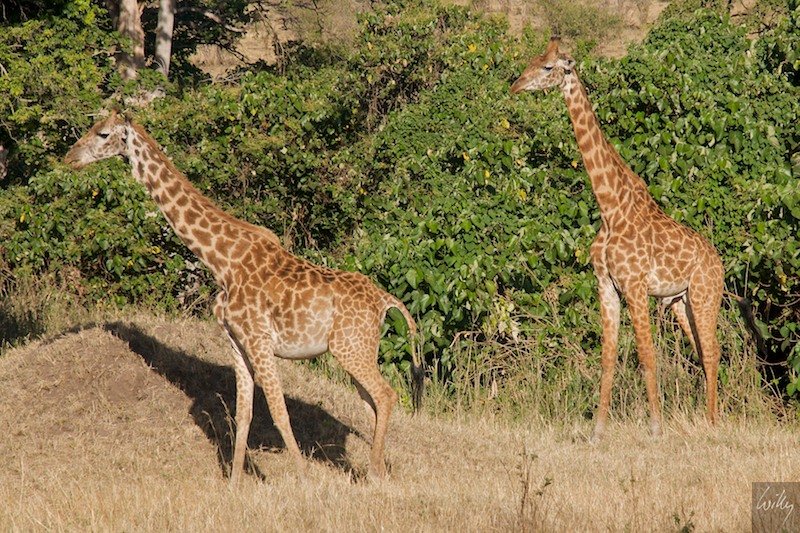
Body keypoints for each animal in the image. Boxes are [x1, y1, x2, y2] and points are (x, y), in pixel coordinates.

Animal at [64, 110, 424, 483]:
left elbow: (279, 412)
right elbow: (244, 415)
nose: (69, 158)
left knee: (386, 395)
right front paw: (235, 483)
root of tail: (385, 301)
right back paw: (374, 472)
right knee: (371, 403)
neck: (220, 260)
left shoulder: (259, 339)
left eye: (103, 134)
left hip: (350, 348)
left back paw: (375, 473)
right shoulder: (236, 341)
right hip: (355, 350)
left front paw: (305, 479)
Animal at [511, 37, 724, 441]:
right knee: (703, 350)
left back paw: (713, 423)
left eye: (548, 67)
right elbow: (608, 358)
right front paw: (597, 431)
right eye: (532, 59)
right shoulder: (606, 285)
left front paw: (656, 428)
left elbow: (646, 355)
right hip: (681, 301)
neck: (610, 208)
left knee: (713, 350)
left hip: (706, 295)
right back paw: (710, 419)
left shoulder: (635, 285)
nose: (515, 86)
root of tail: (720, 261)